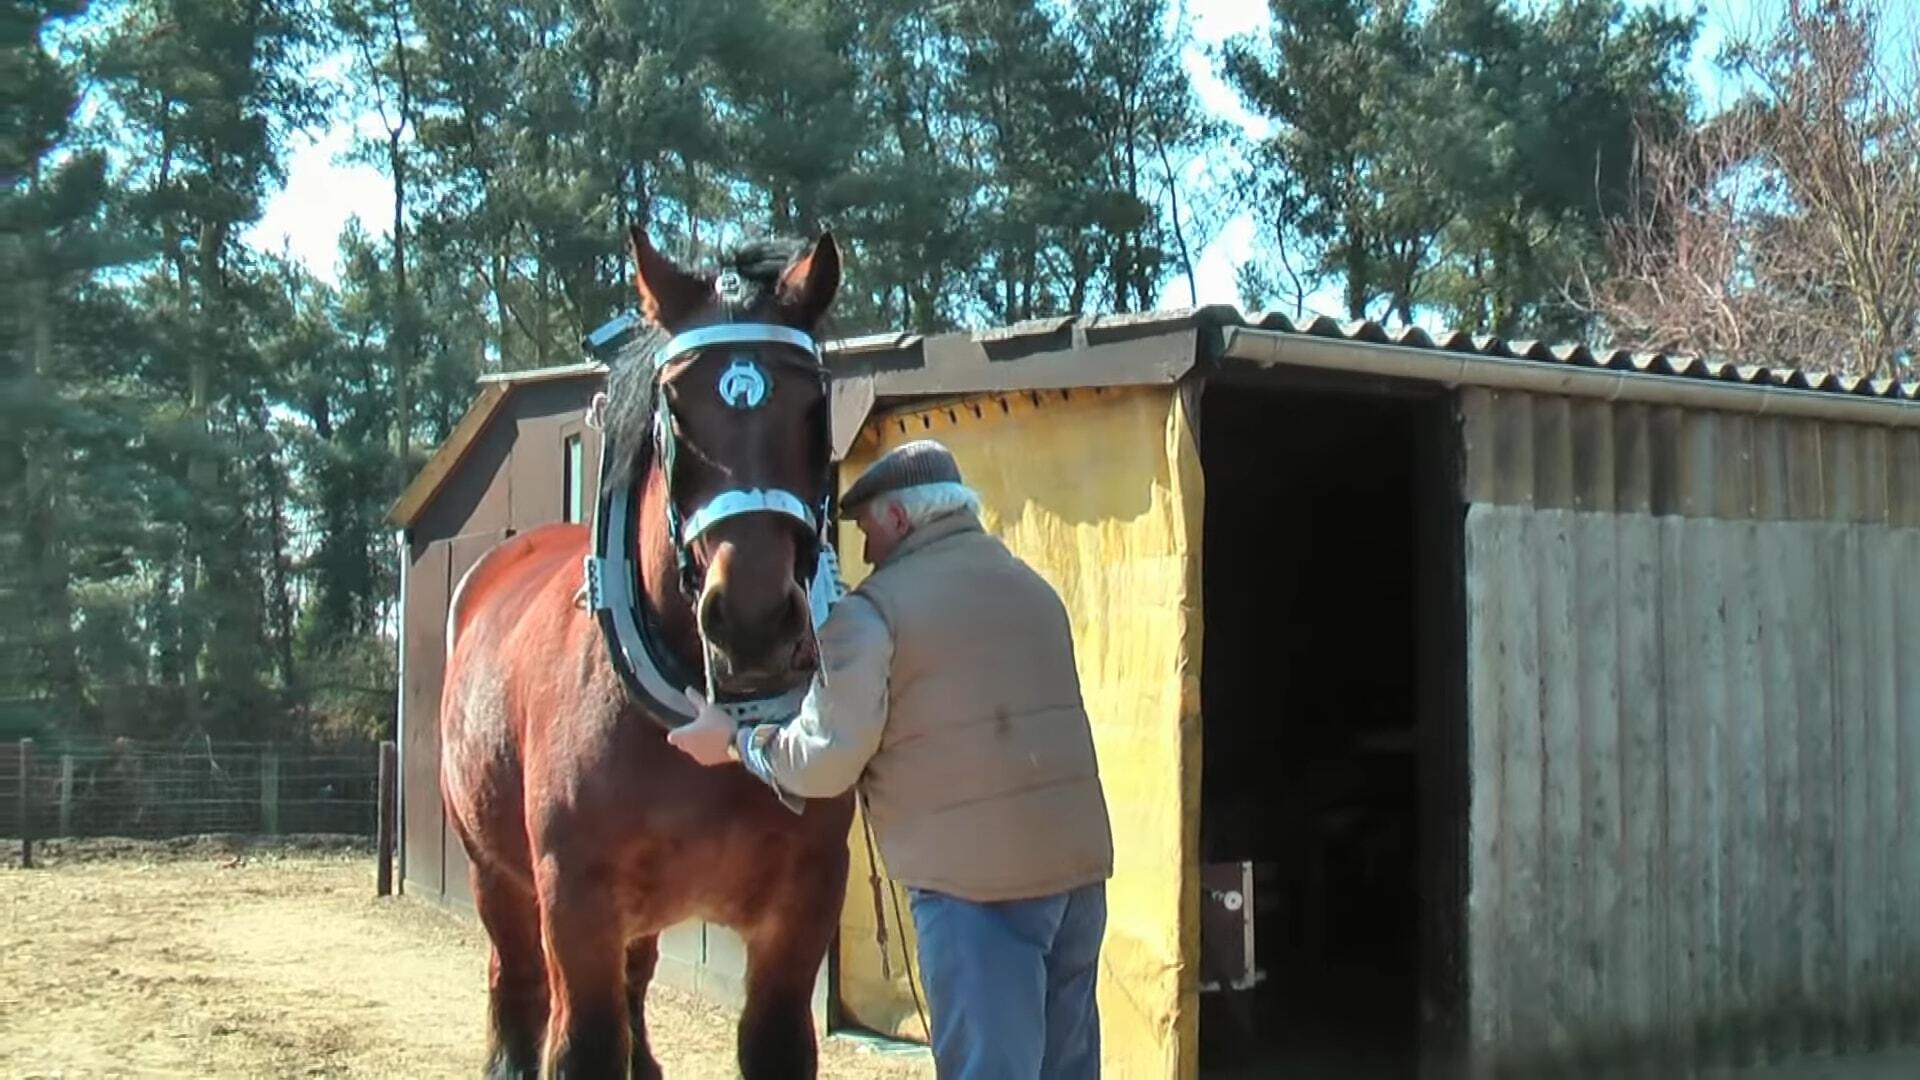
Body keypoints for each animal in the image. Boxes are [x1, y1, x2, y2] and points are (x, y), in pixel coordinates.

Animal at [439, 228, 860, 1076]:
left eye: (812, 406)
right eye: (677, 407)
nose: (753, 623)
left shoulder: (802, 908)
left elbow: (772, 1042)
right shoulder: (575, 903)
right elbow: (586, 1046)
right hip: (493, 873)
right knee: (515, 986)